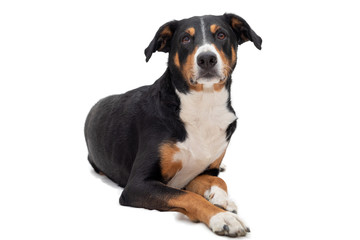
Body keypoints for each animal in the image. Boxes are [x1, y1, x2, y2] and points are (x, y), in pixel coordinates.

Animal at [84, 13, 262, 236]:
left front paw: (221, 198)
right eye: (185, 38)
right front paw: (222, 217)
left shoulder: (202, 171)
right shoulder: (137, 184)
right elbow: (188, 196)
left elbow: (217, 179)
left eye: (221, 35)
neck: (204, 105)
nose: (207, 59)